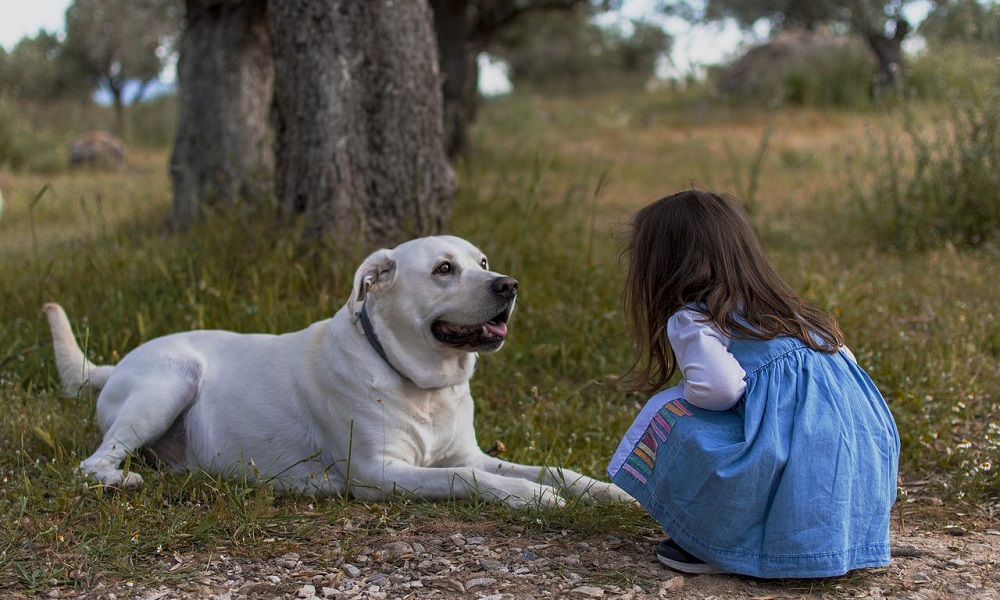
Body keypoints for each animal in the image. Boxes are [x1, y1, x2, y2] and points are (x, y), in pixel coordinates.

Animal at [47, 234, 628, 506]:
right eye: (444, 269)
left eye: (482, 263)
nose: (508, 285)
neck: (422, 385)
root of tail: (115, 364)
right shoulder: (378, 472)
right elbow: (465, 479)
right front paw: (531, 498)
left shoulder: (471, 452)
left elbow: (552, 469)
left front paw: (606, 491)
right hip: (171, 381)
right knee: (91, 464)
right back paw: (119, 481)